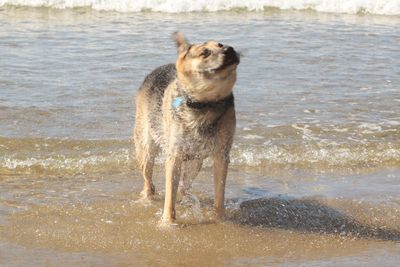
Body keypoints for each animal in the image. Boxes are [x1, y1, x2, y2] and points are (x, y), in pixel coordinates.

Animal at [134, 33, 241, 226]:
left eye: (221, 44)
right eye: (205, 52)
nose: (230, 49)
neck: (205, 103)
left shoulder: (221, 155)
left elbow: (219, 194)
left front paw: (219, 219)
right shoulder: (174, 156)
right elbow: (169, 195)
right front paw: (168, 223)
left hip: (195, 162)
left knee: (184, 186)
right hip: (146, 147)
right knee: (148, 179)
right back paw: (147, 198)